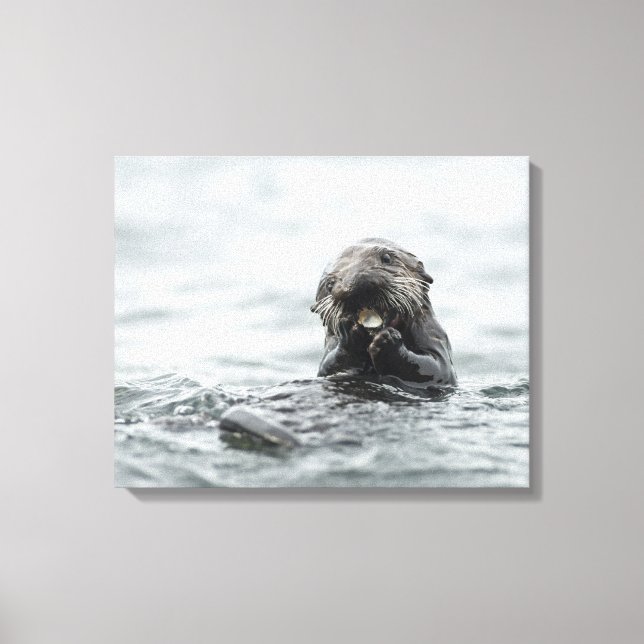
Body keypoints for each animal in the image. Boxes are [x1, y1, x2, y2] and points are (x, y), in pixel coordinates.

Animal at [310, 238, 457, 387]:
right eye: (329, 284)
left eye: (386, 258)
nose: (354, 284)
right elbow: (329, 367)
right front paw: (350, 335)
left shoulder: (432, 333)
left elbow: (437, 367)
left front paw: (388, 340)